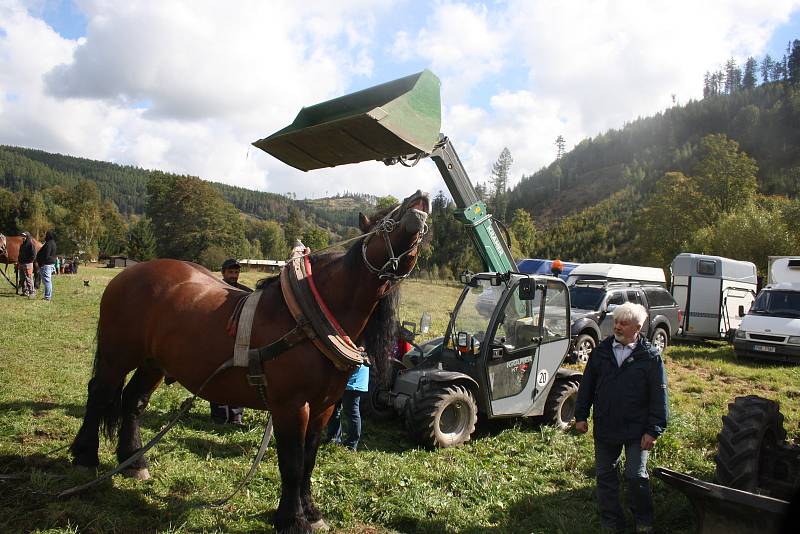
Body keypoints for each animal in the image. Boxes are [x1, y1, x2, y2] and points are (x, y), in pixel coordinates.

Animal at [69, 191, 432, 532]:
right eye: (387, 218)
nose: (421, 198)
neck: (310, 318)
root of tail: (129, 272)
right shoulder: (290, 406)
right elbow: (292, 462)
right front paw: (292, 519)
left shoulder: (325, 406)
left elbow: (309, 459)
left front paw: (311, 513)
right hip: (117, 354)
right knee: (100, 393)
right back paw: (85, 456)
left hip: (152, 362)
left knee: (133, 401)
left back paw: (133, 462)